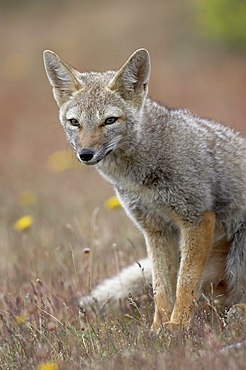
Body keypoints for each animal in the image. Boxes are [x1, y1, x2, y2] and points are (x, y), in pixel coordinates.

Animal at [43, 48, 246, 330]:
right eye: (74, 122)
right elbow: (162, 287)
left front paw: (178, 326)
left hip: (239, 255)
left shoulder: (197, 218)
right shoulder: (156, 230)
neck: (139, 178)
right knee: (217, 297)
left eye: (109, 120)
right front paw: (158, 328)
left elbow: (185, 284)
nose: (85, 154)